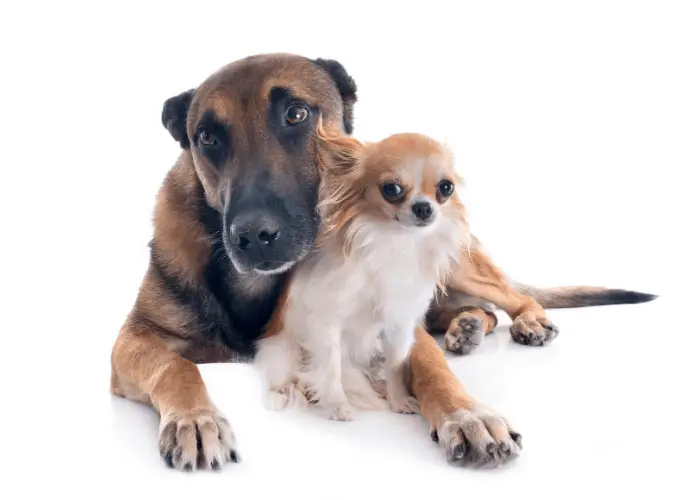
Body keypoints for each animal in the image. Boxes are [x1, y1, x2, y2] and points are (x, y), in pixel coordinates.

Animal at [253, 123, 470, 420]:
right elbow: (331, 367)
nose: (424, 207)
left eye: (446, 187)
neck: (396, 242)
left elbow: (396, 365)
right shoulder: (327, 322)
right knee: (289, 375)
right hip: (283, 348)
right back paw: (289, 392)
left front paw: (399, 399)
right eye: (391, 189)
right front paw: (336, 405)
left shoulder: (398, 325)